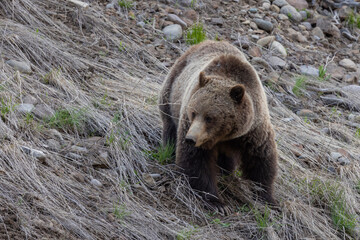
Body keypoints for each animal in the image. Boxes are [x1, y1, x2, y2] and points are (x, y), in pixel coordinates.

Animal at [158, 39, 278, 214]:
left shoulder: (253, 131)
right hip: (172, 91)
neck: (224, 135)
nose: (190, 139)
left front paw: (268, 199)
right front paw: (218, 203)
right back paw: (170, 148)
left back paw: (226, 170)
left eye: (210, 118)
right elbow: (196, 161)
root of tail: (204, 42)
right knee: (170, 125)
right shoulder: (190, 124)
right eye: (193, 112)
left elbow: (260, 161)